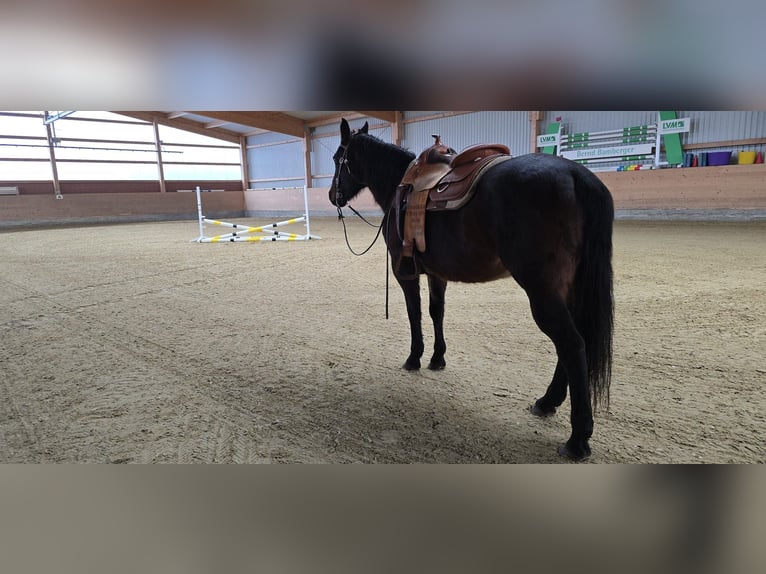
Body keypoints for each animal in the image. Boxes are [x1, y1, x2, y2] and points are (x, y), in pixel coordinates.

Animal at [328, 118, 614, 460]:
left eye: (337, 158)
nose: (332, 195)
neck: (400, 184)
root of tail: (576, 174)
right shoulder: (436, 274)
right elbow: (436, 312)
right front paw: (437, 358)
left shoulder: (405, 273)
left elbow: (414, 314)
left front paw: (414, 358)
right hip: (567, 290)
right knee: (572, 344)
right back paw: (548, 402)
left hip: (542, 292)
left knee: (572, 344)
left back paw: (577, 439)